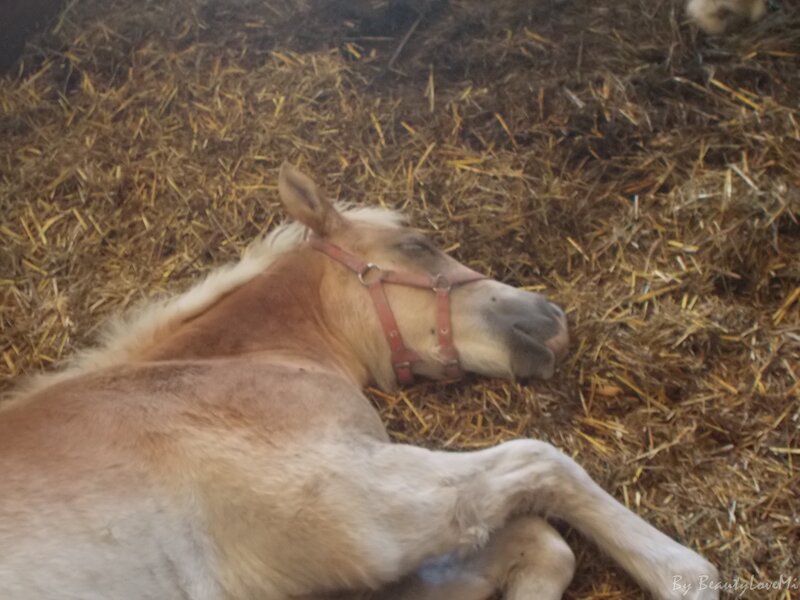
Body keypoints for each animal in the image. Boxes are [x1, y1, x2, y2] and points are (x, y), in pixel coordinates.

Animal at [0, 163, 719, 600]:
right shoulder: (352, 507)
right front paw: (683, 573)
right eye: (419, 245)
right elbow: (543, 463)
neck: (233, 367)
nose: (551, 319)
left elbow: (541, 545)